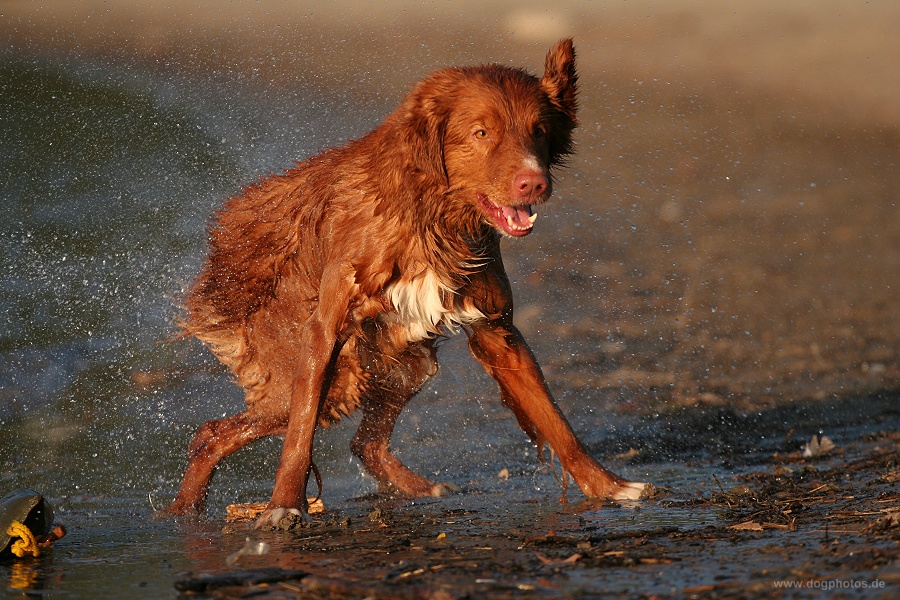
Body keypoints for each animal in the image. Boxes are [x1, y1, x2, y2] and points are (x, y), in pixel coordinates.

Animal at [165, 38, 648, 524]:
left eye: (540, 131)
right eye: (481, 133)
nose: (534, 183)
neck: (431, 216)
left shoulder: (497, 330)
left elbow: (555, 419)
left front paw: (608, 486)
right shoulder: (324, 331)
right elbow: (299, 435)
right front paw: (285, 504)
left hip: (404, 363)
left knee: (363, 442)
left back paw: (422, 488)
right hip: (333, 377)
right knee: (215, 432)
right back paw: (183, 511)